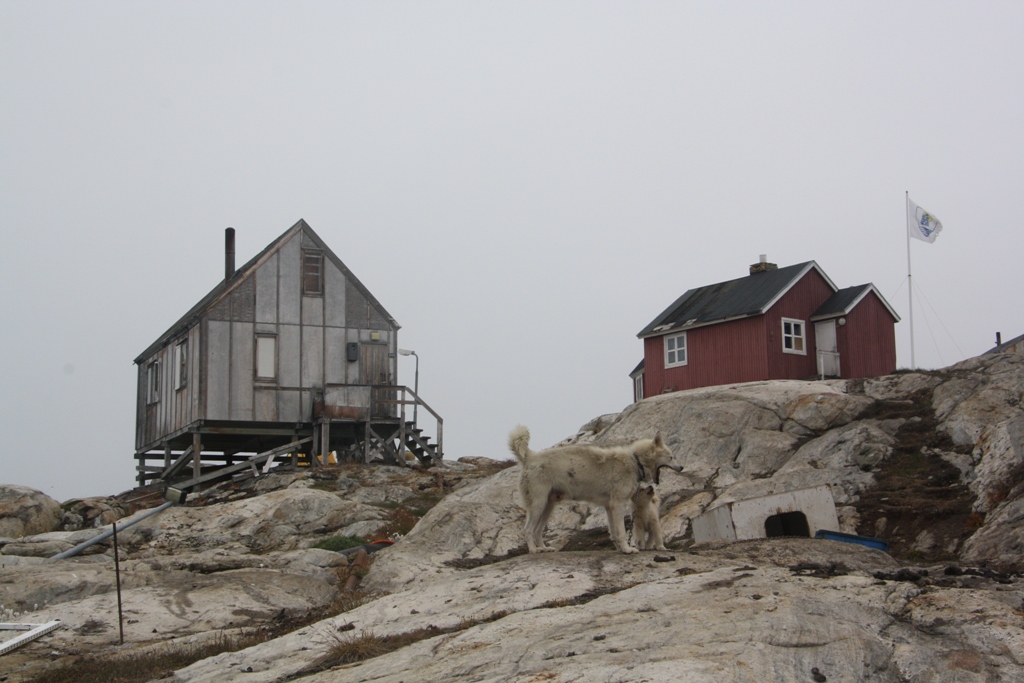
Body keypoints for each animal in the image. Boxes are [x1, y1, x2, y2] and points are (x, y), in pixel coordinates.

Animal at [505, 428, 679, 557]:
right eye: (671, 457)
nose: (681, 467)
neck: (635, 461)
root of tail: (530, 457)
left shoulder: (609, 507)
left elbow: (614, 532)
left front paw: (620, 549)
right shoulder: (618, 505)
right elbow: (621, 532)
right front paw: (628, 549)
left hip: (548, 507)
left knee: (537, 531)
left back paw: (544, 548)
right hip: (538, 506)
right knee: (528, 529)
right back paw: (533, 550)